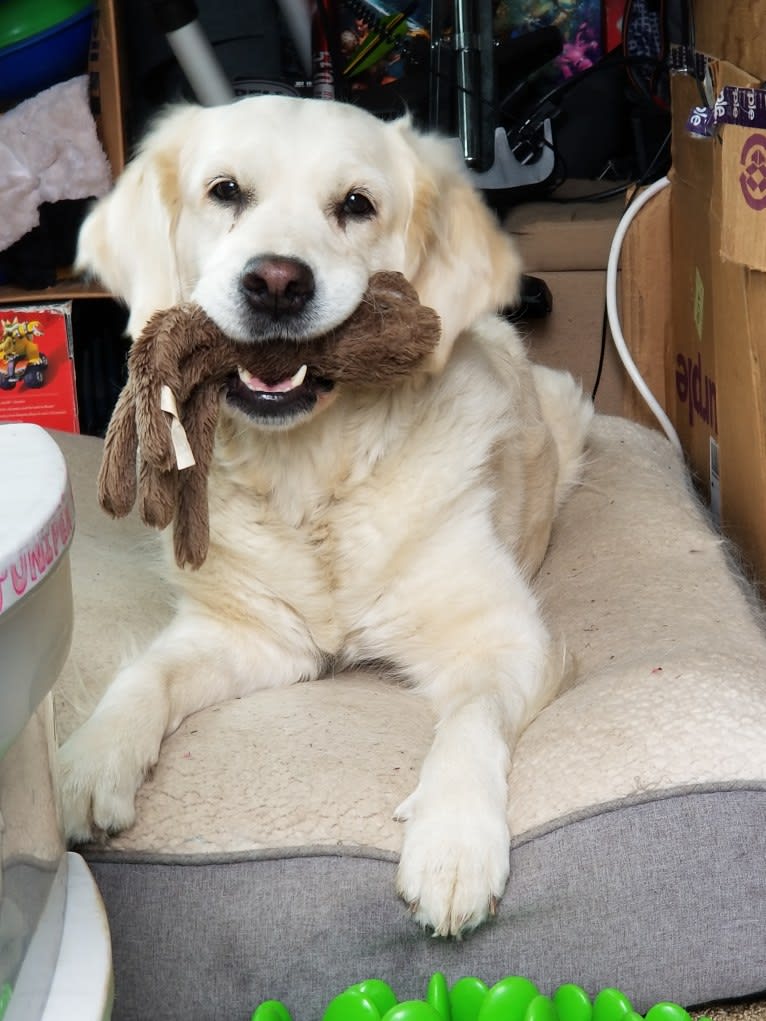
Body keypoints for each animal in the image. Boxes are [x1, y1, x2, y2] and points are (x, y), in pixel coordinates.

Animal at [61, 93, 600, 935]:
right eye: (225, 191)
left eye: (356, 204)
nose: (277, 282)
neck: (315, 479)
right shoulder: (252, 636)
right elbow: (147, 673)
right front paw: (91, 759)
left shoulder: (504, 639)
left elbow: (469, 722)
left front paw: (453, 843)